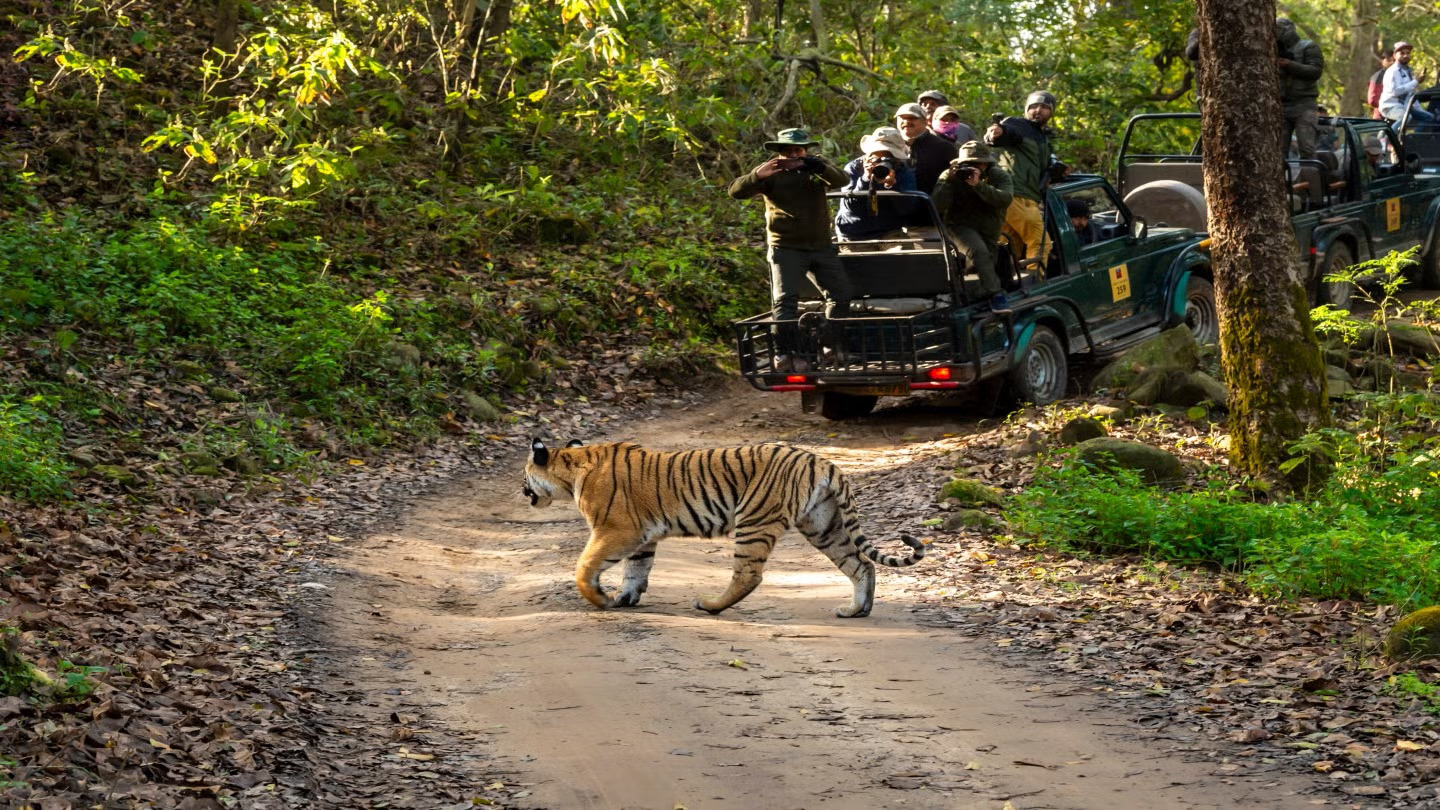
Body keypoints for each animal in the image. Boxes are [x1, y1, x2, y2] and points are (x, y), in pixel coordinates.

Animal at [522, 438, 926, 618]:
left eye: (524, 475)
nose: (521, 490)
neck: (571, 466)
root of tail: (822, 462)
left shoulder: (616, 530)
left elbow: (585, 566)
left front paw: (601, 599)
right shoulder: (643, 537)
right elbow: (636, 570)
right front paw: (624, 598)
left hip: (754, 519)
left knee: (749, 574)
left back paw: (710, 606)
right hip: (824, 524)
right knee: (861, 564)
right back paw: (856, 610)